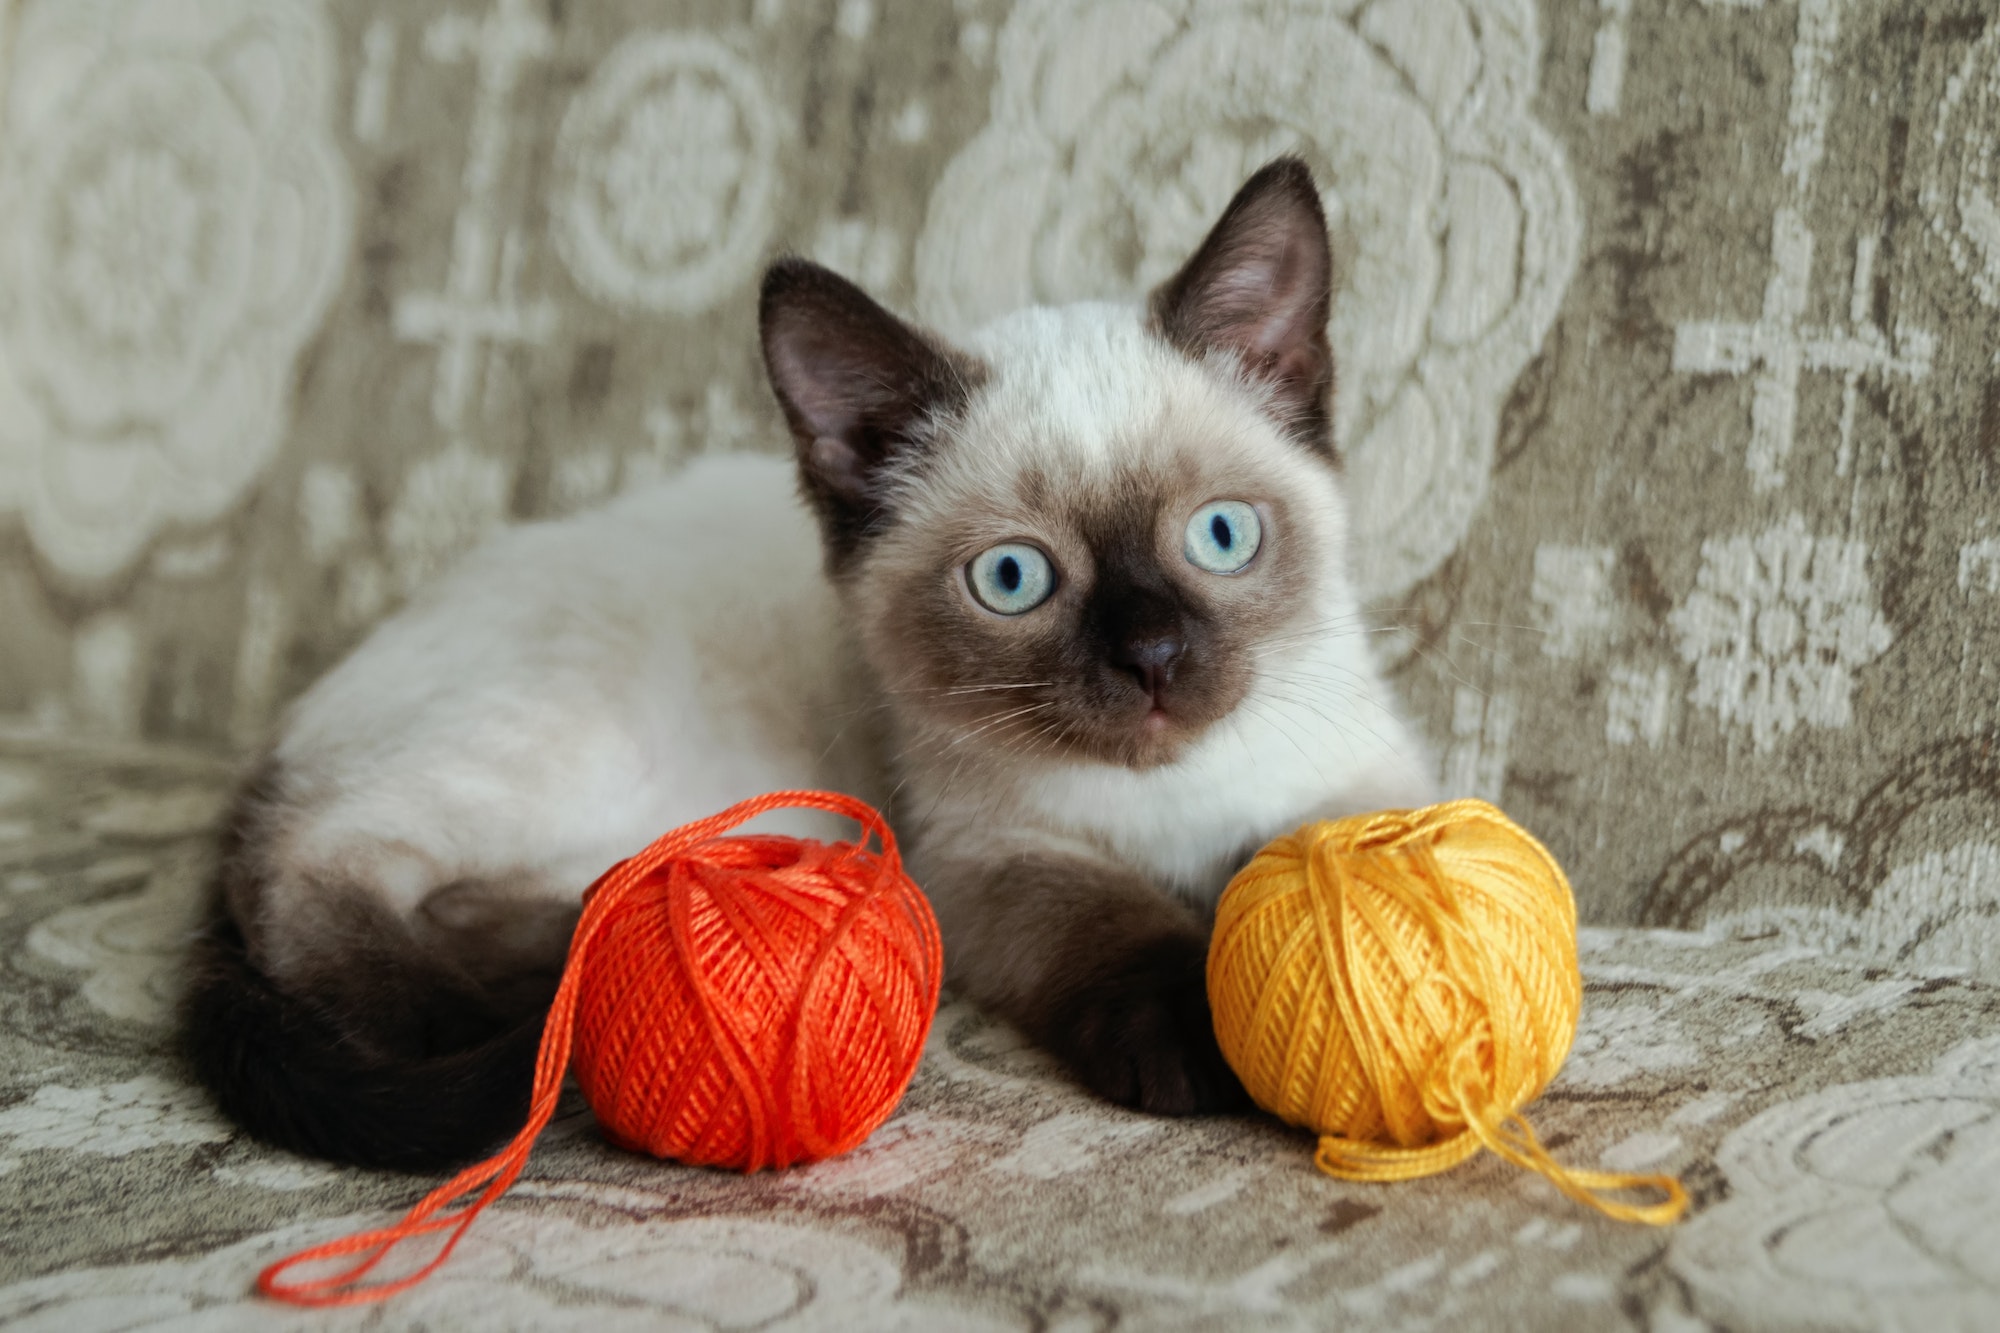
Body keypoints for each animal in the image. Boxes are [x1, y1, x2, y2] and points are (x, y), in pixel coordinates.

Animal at [188, 158, 1432, 1160]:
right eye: (1012, 580)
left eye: (1220, 537)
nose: (1153, 659)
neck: (1170, 806)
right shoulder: (984, 858)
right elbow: (1111, 920)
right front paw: (1198, 1035)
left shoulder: (1350, 781)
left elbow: (1345, 856)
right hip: (599, 745)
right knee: (307, 867)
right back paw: (491, 1014)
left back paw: (565, 955)